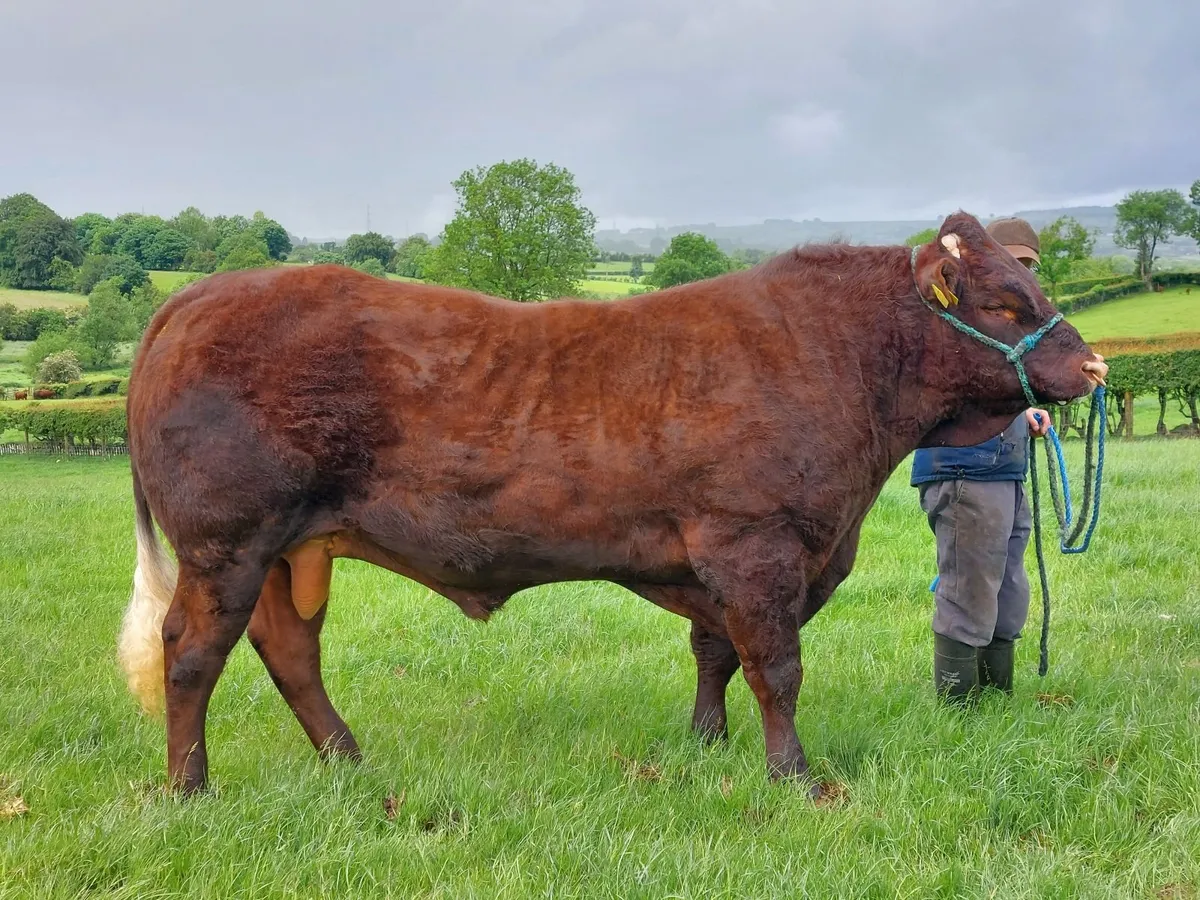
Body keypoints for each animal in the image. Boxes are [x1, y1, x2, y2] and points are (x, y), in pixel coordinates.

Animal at [117, 212, 1108, 796]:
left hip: (296, 548)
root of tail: (198, 297)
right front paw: (792, 776)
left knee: (289, 650)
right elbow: (776, 668)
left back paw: (349, 762)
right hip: (228, 542)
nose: (1095, 366)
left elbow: (714, 654)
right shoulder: (758, 544)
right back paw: (191, 788)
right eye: (1003, 301)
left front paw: (708, 744)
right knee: (192, 653)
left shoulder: (716, 557)